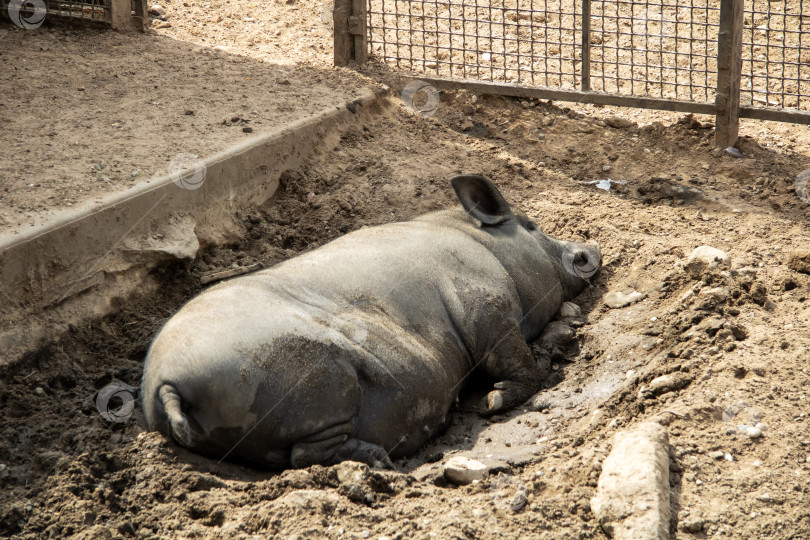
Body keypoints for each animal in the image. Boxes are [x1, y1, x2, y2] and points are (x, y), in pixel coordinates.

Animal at [142, 176, 600, 468]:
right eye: (532, 225)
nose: (589, 248)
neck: (483, 243)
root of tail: (166, 383)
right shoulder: (486, 304)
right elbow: (515, 362)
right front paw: (493, 402)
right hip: (302, 375)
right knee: (305, 454)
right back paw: (377, 461)